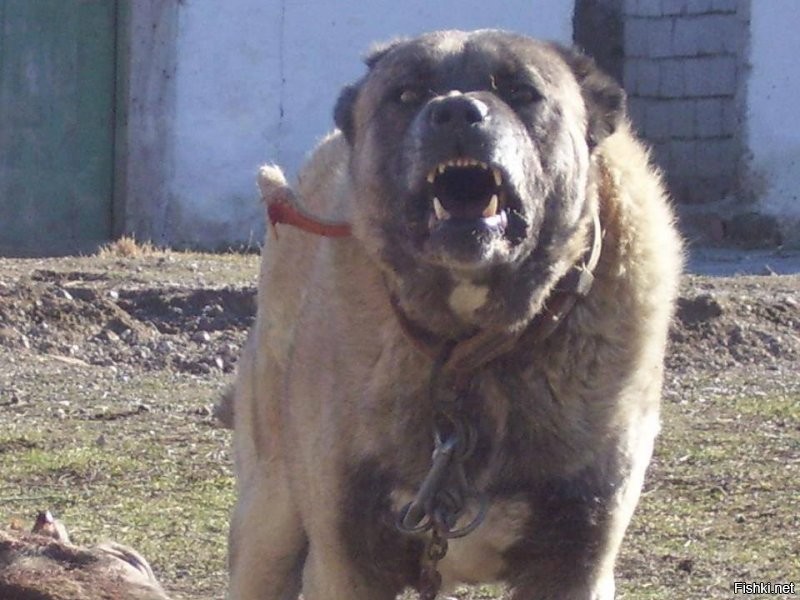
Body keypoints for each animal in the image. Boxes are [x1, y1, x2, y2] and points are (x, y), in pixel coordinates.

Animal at [228, 29, 684, 600]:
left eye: (521, 91)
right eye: (406, 94)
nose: (457, 112)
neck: (469, 352)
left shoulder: (575, 563)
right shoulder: (348, 562)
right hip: (269, 523)